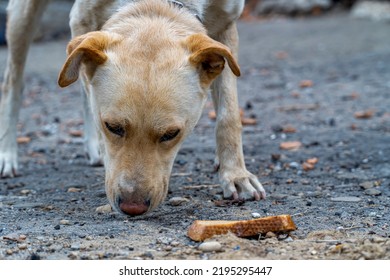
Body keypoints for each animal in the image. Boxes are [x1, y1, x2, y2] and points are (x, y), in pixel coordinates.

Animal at [0, 0, 266, 217]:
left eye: (171, 134)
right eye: (113, 127)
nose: (132, 207)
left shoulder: (226, 28)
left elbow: (228, 115)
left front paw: (236, 174)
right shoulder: (81, 21)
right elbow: (91, 97)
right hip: (23, 17)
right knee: (14, 81)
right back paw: (7, 154)